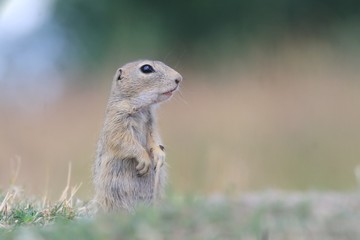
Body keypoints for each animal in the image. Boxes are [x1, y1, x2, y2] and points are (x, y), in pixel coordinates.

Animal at [93, 59, 183, 212]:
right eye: (146, 68)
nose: (179, 78)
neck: (140, 107)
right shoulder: (117, 120)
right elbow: (123, 141)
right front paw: (144, 160)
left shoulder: (150, 123)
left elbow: (153, 138)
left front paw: (160, 155)